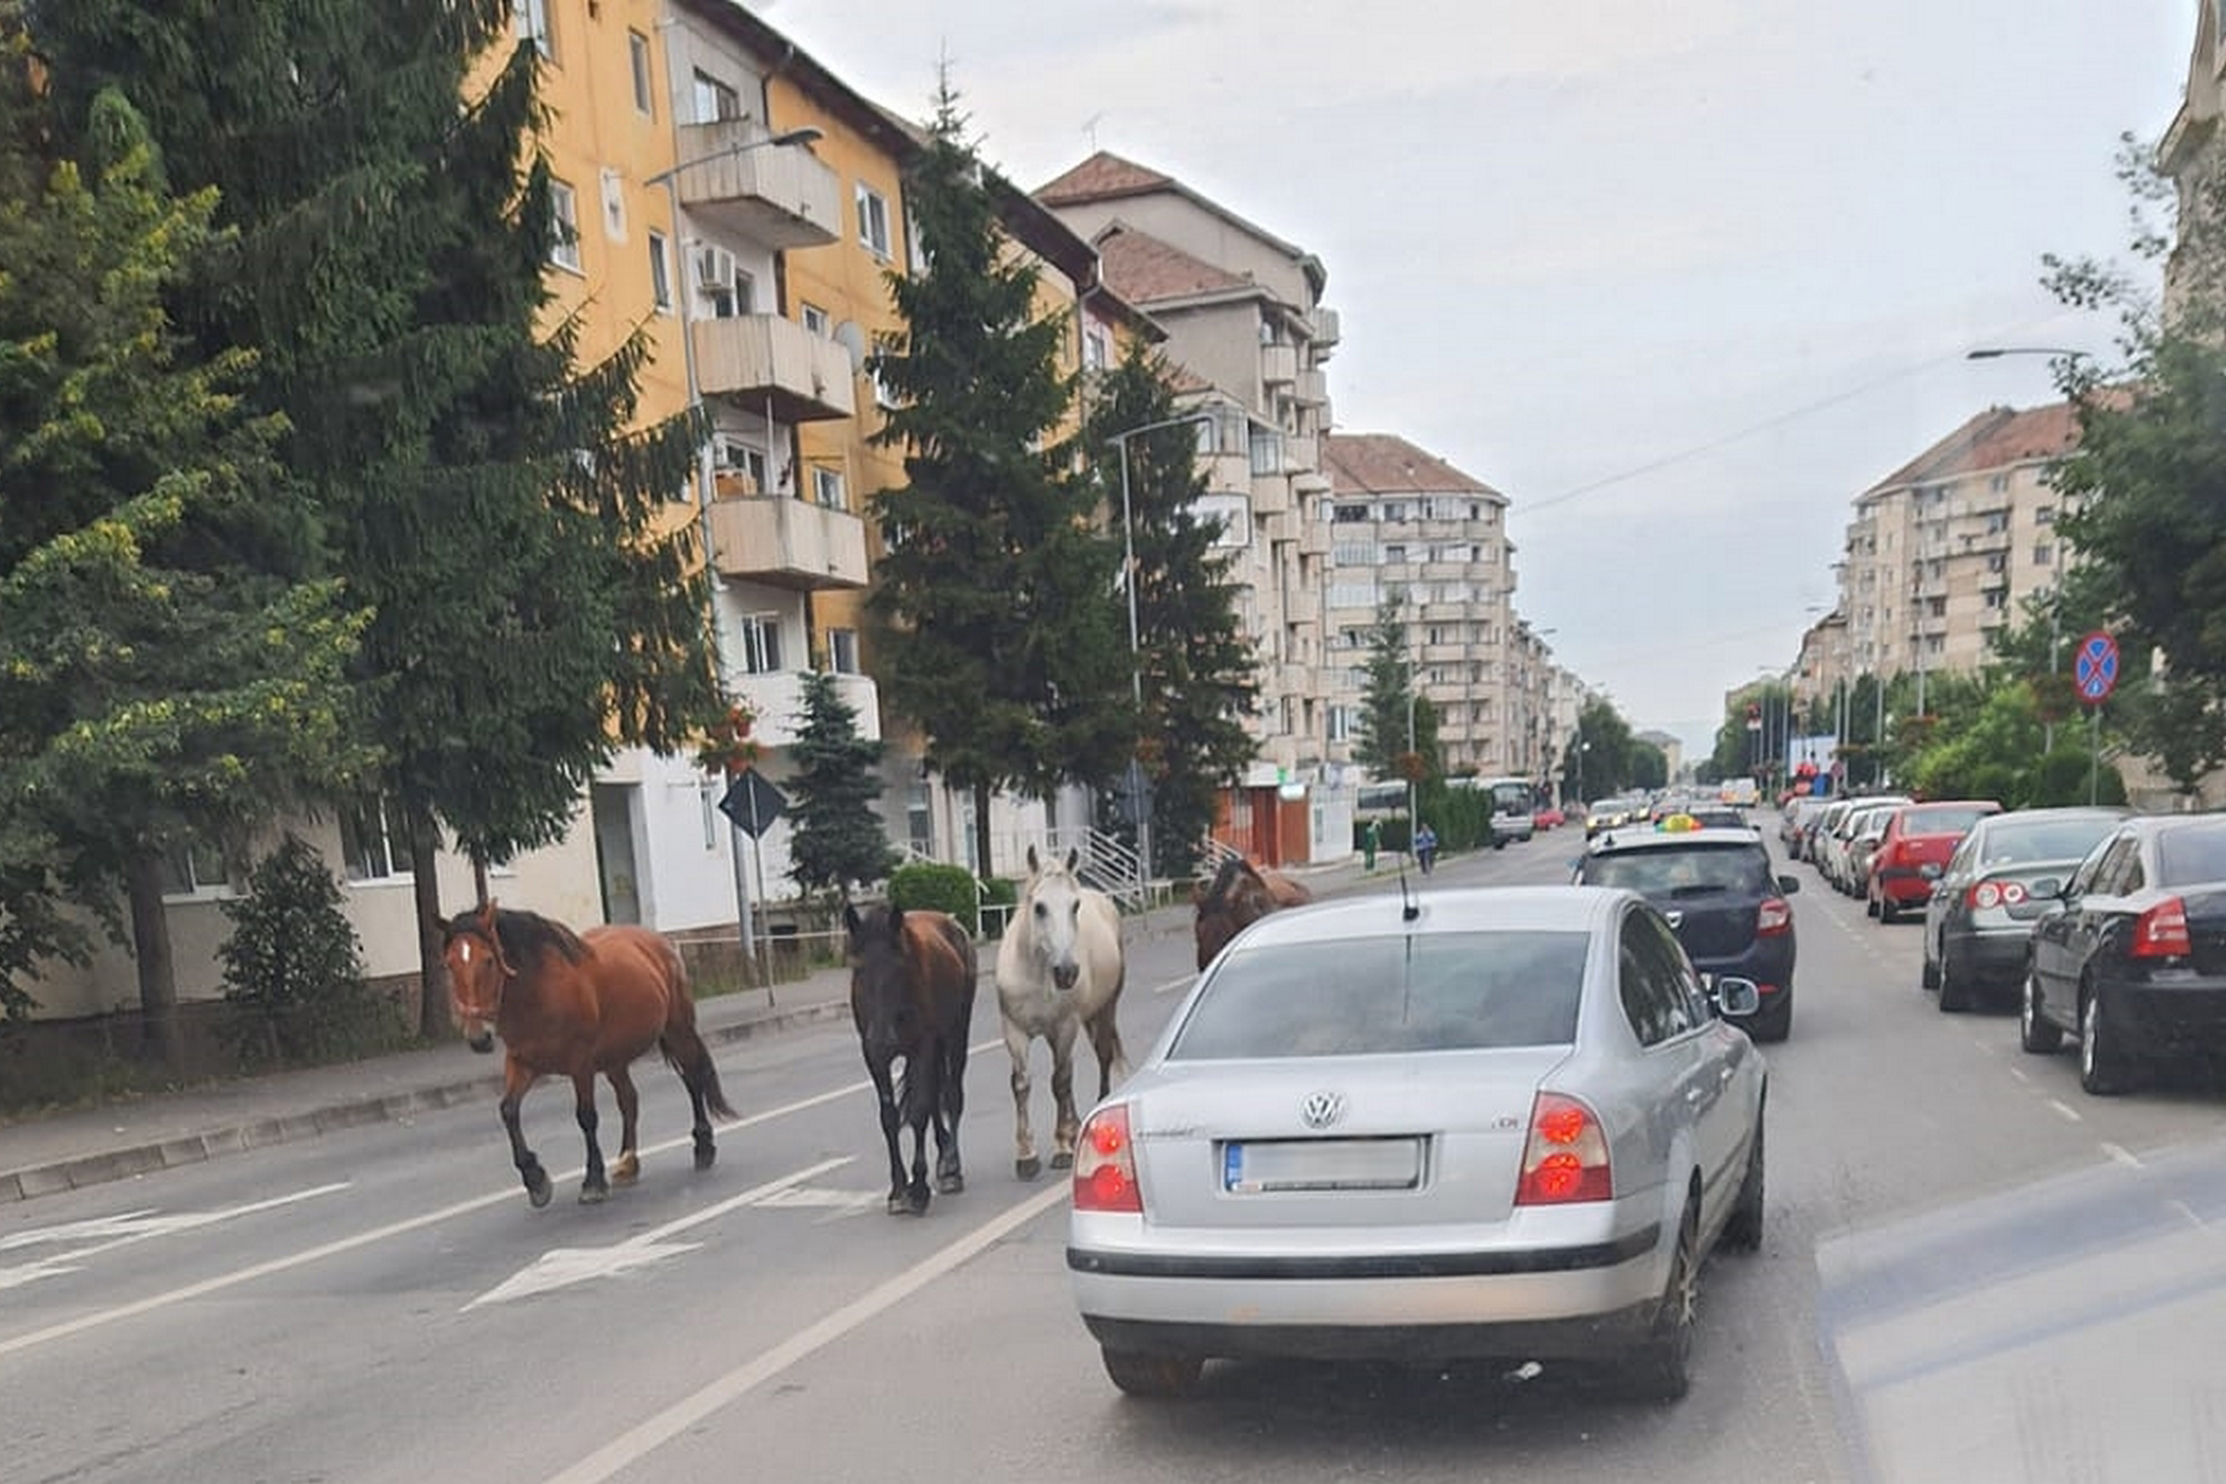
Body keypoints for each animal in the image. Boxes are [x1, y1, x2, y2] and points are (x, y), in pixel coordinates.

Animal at [438, 907, 734, 1210]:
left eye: (488, 960)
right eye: (449, 964)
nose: (478, 1037)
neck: (538, 991)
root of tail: (656, 940)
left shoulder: (580, 1064)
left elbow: (586, 1117)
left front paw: (593, 1181)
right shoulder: (522, 1064)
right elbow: (508, 1111)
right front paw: (535, 1180)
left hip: (677, 1030)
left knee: (692, 1080)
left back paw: (703, 1147)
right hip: (615, 1058)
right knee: (629, 1100)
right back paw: (628, 1163)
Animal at [841, 907, 974, 1219]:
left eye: (898, 968)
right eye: (858, 969)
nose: (881, 1039)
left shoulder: (922, 1046)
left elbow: (919, 1112)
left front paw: (918, 1189)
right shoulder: (874, 1058)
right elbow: (889, 1117)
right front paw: (898, 1188)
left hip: (955, 1033)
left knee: (952, 1095)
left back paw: (952, 1167)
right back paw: (943, 1157)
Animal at [997, 854, 1130, 1174]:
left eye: (1075, 906)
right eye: (1039, 907)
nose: (1067, 972)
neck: (1036, 974)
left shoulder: (1065, 1026)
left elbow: (1059, 1082)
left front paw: (1062, 1148)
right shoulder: (1014, 1030)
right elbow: (1022, 1084)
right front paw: (1027, 1156)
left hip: (1103, 1010)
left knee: (1099, 1057)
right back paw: (1074, 1125)